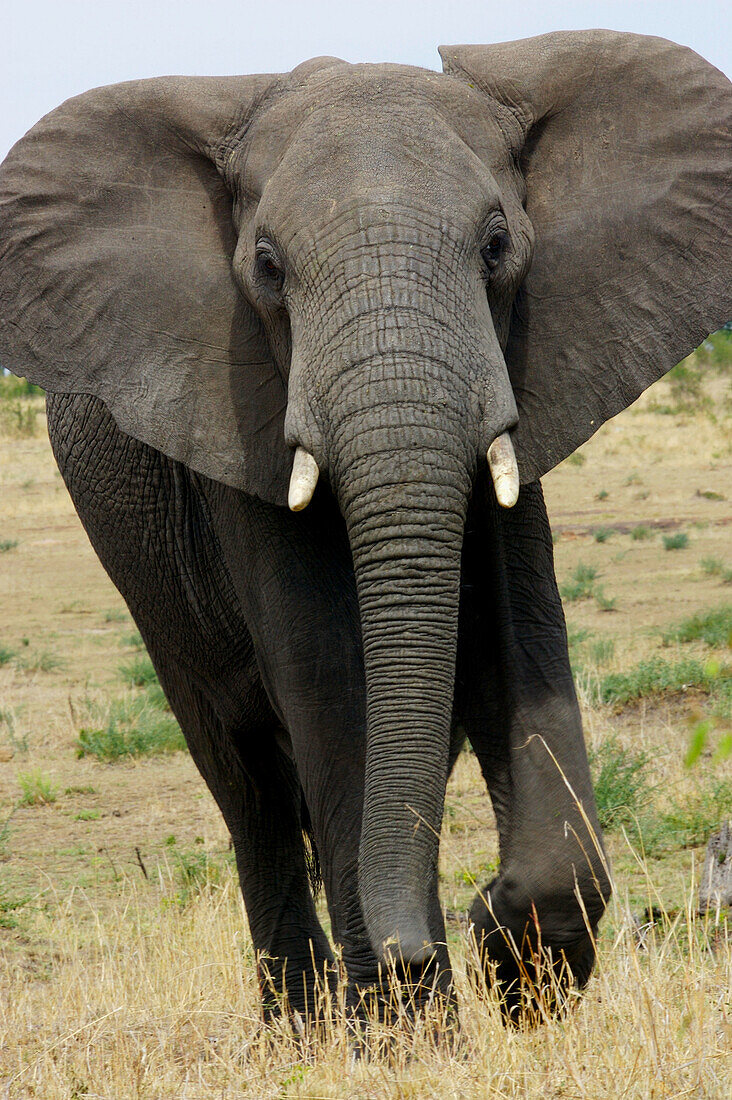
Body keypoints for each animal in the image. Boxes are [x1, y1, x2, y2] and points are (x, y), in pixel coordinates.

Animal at [1, 30, 730, 1025]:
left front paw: (512, 960)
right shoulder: (238, 417)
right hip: (145, 582)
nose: (424, 940)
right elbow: (329, 674)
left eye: (497, 245)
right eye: (268, 268)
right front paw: (408, 1022)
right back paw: (302, 1025)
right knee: (248, 786)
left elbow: (523, 641)